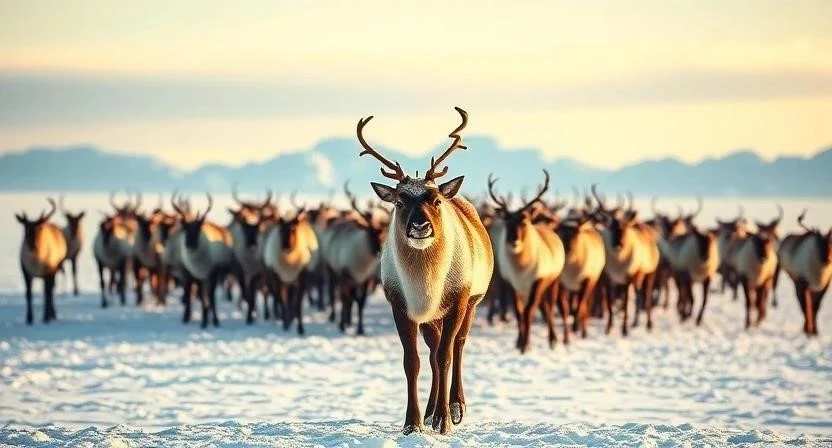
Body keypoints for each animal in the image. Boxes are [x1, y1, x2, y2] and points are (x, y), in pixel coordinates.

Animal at [357, 106, 493, 435]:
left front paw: (445, 419)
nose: (420, 226)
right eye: (399, 201)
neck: (425, 283)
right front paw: (413, 422)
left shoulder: (458, 300)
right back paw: (431, 411)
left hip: (472, 302)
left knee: (457, 346)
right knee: (432, 352)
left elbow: (445, 357)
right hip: (432, 318)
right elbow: (414, 362)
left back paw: (455, 407)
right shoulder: (401, 305)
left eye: (435, 200)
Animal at [487, 170, 567, 353]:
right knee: (542, 307)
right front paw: (519, 343)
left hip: (553, 281)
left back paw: (553, 339)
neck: (521, 269)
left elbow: (529, 311)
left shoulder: (538, 280)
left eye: (524, 221)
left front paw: (526, 345)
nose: (513, 241)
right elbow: (518, 312)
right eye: (506, 221)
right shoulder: (511, 282)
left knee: (549, 307)